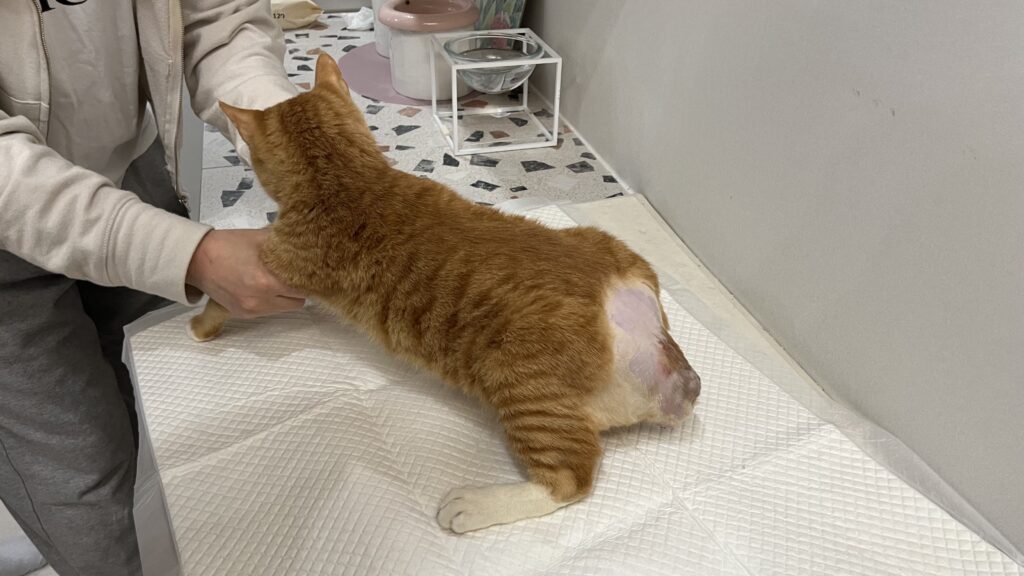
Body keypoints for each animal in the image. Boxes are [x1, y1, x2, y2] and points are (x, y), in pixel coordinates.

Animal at [188, 53, 701, 534]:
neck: (347, 175)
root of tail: (624, 302)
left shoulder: (275, 264)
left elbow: (218, 301)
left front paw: (199, 323)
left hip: (519, 379)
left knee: (569, 479)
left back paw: (476, 503)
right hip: (604, 250)